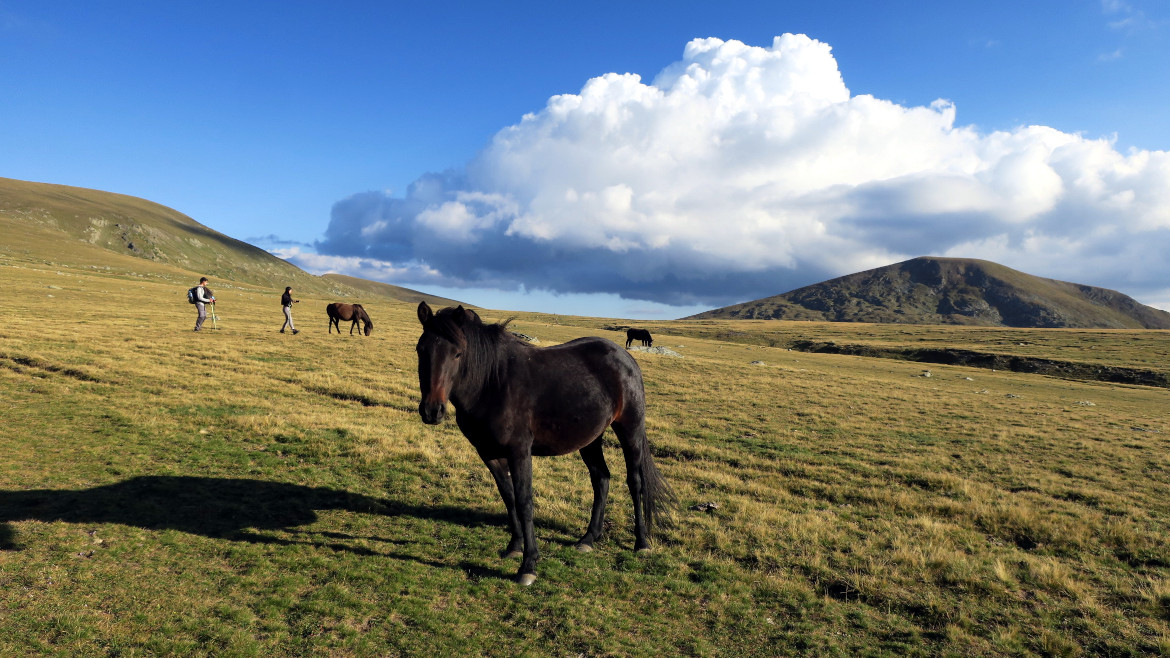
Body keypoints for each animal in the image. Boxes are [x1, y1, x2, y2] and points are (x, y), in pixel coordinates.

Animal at [415, 302, 672, 585]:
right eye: (421, 349)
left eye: (458, 353)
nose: (432, 411)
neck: (492, 384)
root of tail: (625, 357)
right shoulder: (488, 453)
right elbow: (508, 497)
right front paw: (514, 547)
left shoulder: (519, 452)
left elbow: (524, 501)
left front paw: (529, 565)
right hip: (590, 438)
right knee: (601, 479)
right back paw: (588, 539)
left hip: (630, 431)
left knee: (635, 482)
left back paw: (642, 542)